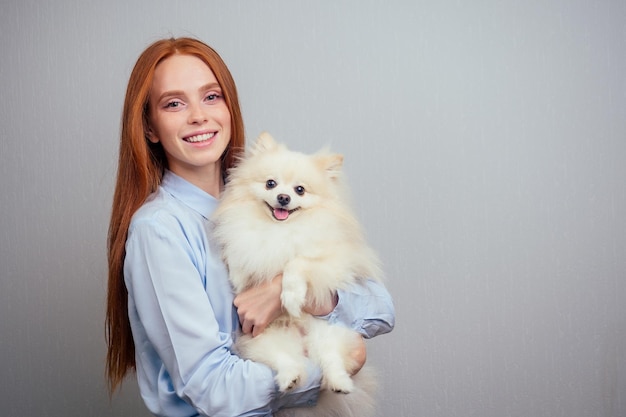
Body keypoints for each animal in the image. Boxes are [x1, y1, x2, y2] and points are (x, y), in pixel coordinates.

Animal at [212, 133, 382, 416]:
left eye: (300, 190)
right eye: (270, 183)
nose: (283, 197)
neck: (279, 229)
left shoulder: (335, 259)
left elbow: (296, 263)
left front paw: (291, 299)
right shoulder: (245, 240)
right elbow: (240, 253)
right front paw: (238, 277)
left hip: (329, 332)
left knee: (332, 359)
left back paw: (339, 383)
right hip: (263, 341)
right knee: (285, 360)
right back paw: (290, 377)